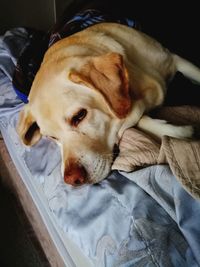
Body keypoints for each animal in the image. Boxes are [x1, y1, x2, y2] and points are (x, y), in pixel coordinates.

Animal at [16, 22, 200, 186]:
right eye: (51, 137)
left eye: (79, 116)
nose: (72, 180)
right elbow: (139, 119)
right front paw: (179, 131)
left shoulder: (175, 60)